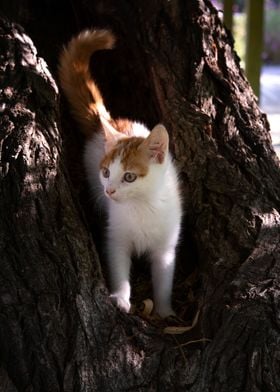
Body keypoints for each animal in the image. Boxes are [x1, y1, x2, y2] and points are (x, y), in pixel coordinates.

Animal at [58, 29, 182, 318]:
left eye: (129, 177)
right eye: (106, 172)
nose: (109, 190)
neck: (142, 206)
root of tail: (110, 121)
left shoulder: (166, 246)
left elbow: (164, 277)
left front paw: (164, 310)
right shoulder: (116, 238)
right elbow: (118, 266)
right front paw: (121, 298)